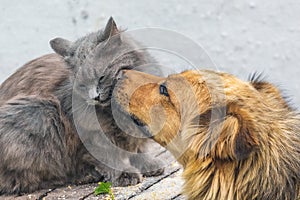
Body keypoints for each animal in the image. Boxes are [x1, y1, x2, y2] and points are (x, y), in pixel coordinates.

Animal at [0, 18, 163, 195]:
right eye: (82, 85)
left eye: (101, 77)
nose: (94, 97)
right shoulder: (93, 136)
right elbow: (109, 157)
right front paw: (125, 174)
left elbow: (137, 149)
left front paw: (149, 164)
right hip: (41, 113)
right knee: (27, 179)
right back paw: (84, 175)